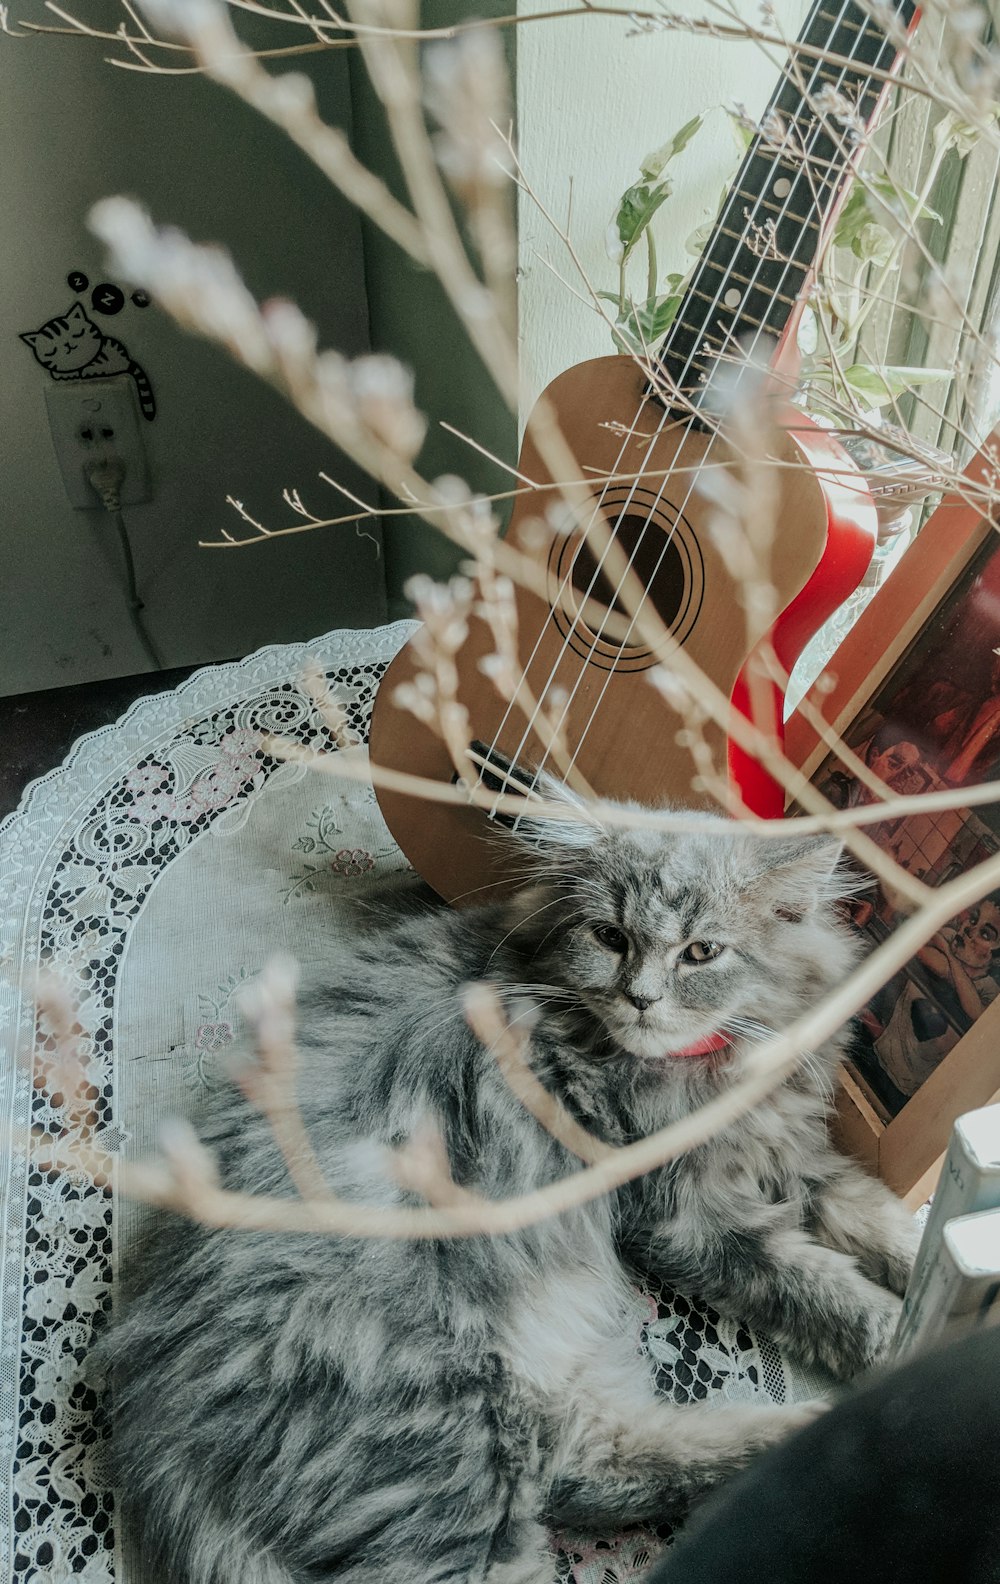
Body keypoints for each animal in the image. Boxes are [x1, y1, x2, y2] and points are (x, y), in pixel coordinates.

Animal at [103, 792, 925, 1584]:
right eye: (610, 937)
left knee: (590, 1461)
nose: (642, 999)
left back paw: (794, 1437)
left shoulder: (794, 1158)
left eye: (701, 952)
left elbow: (882, 1227)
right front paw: (907, 1340)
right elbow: (830, 1292)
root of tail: (153, 1423)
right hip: (452, 1434)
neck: (708, 1071)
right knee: (560, 1495)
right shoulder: (688, 1218)